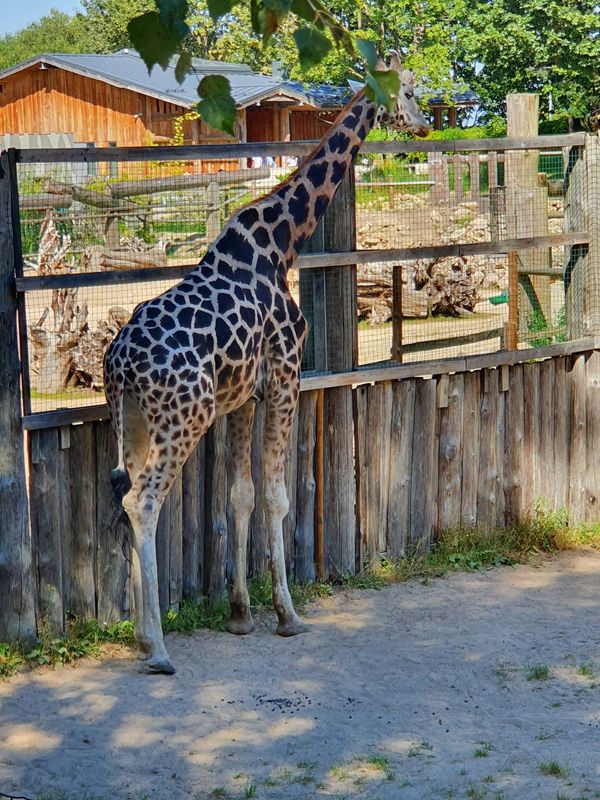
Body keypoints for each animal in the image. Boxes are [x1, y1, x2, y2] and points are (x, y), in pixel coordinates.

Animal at [104, 51, 432, 676]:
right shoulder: (285, 379)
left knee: (127, 498)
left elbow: (240, 495)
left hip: (133, 419)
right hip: (183, 418)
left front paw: (239, 615)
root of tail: (120, 363)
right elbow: (278, 496)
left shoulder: (239, 399)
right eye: (407, 87)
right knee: (143, 501)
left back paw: (140, 636)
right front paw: (288, 615)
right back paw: (157, 647)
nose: (425, 123)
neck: (283, 242)